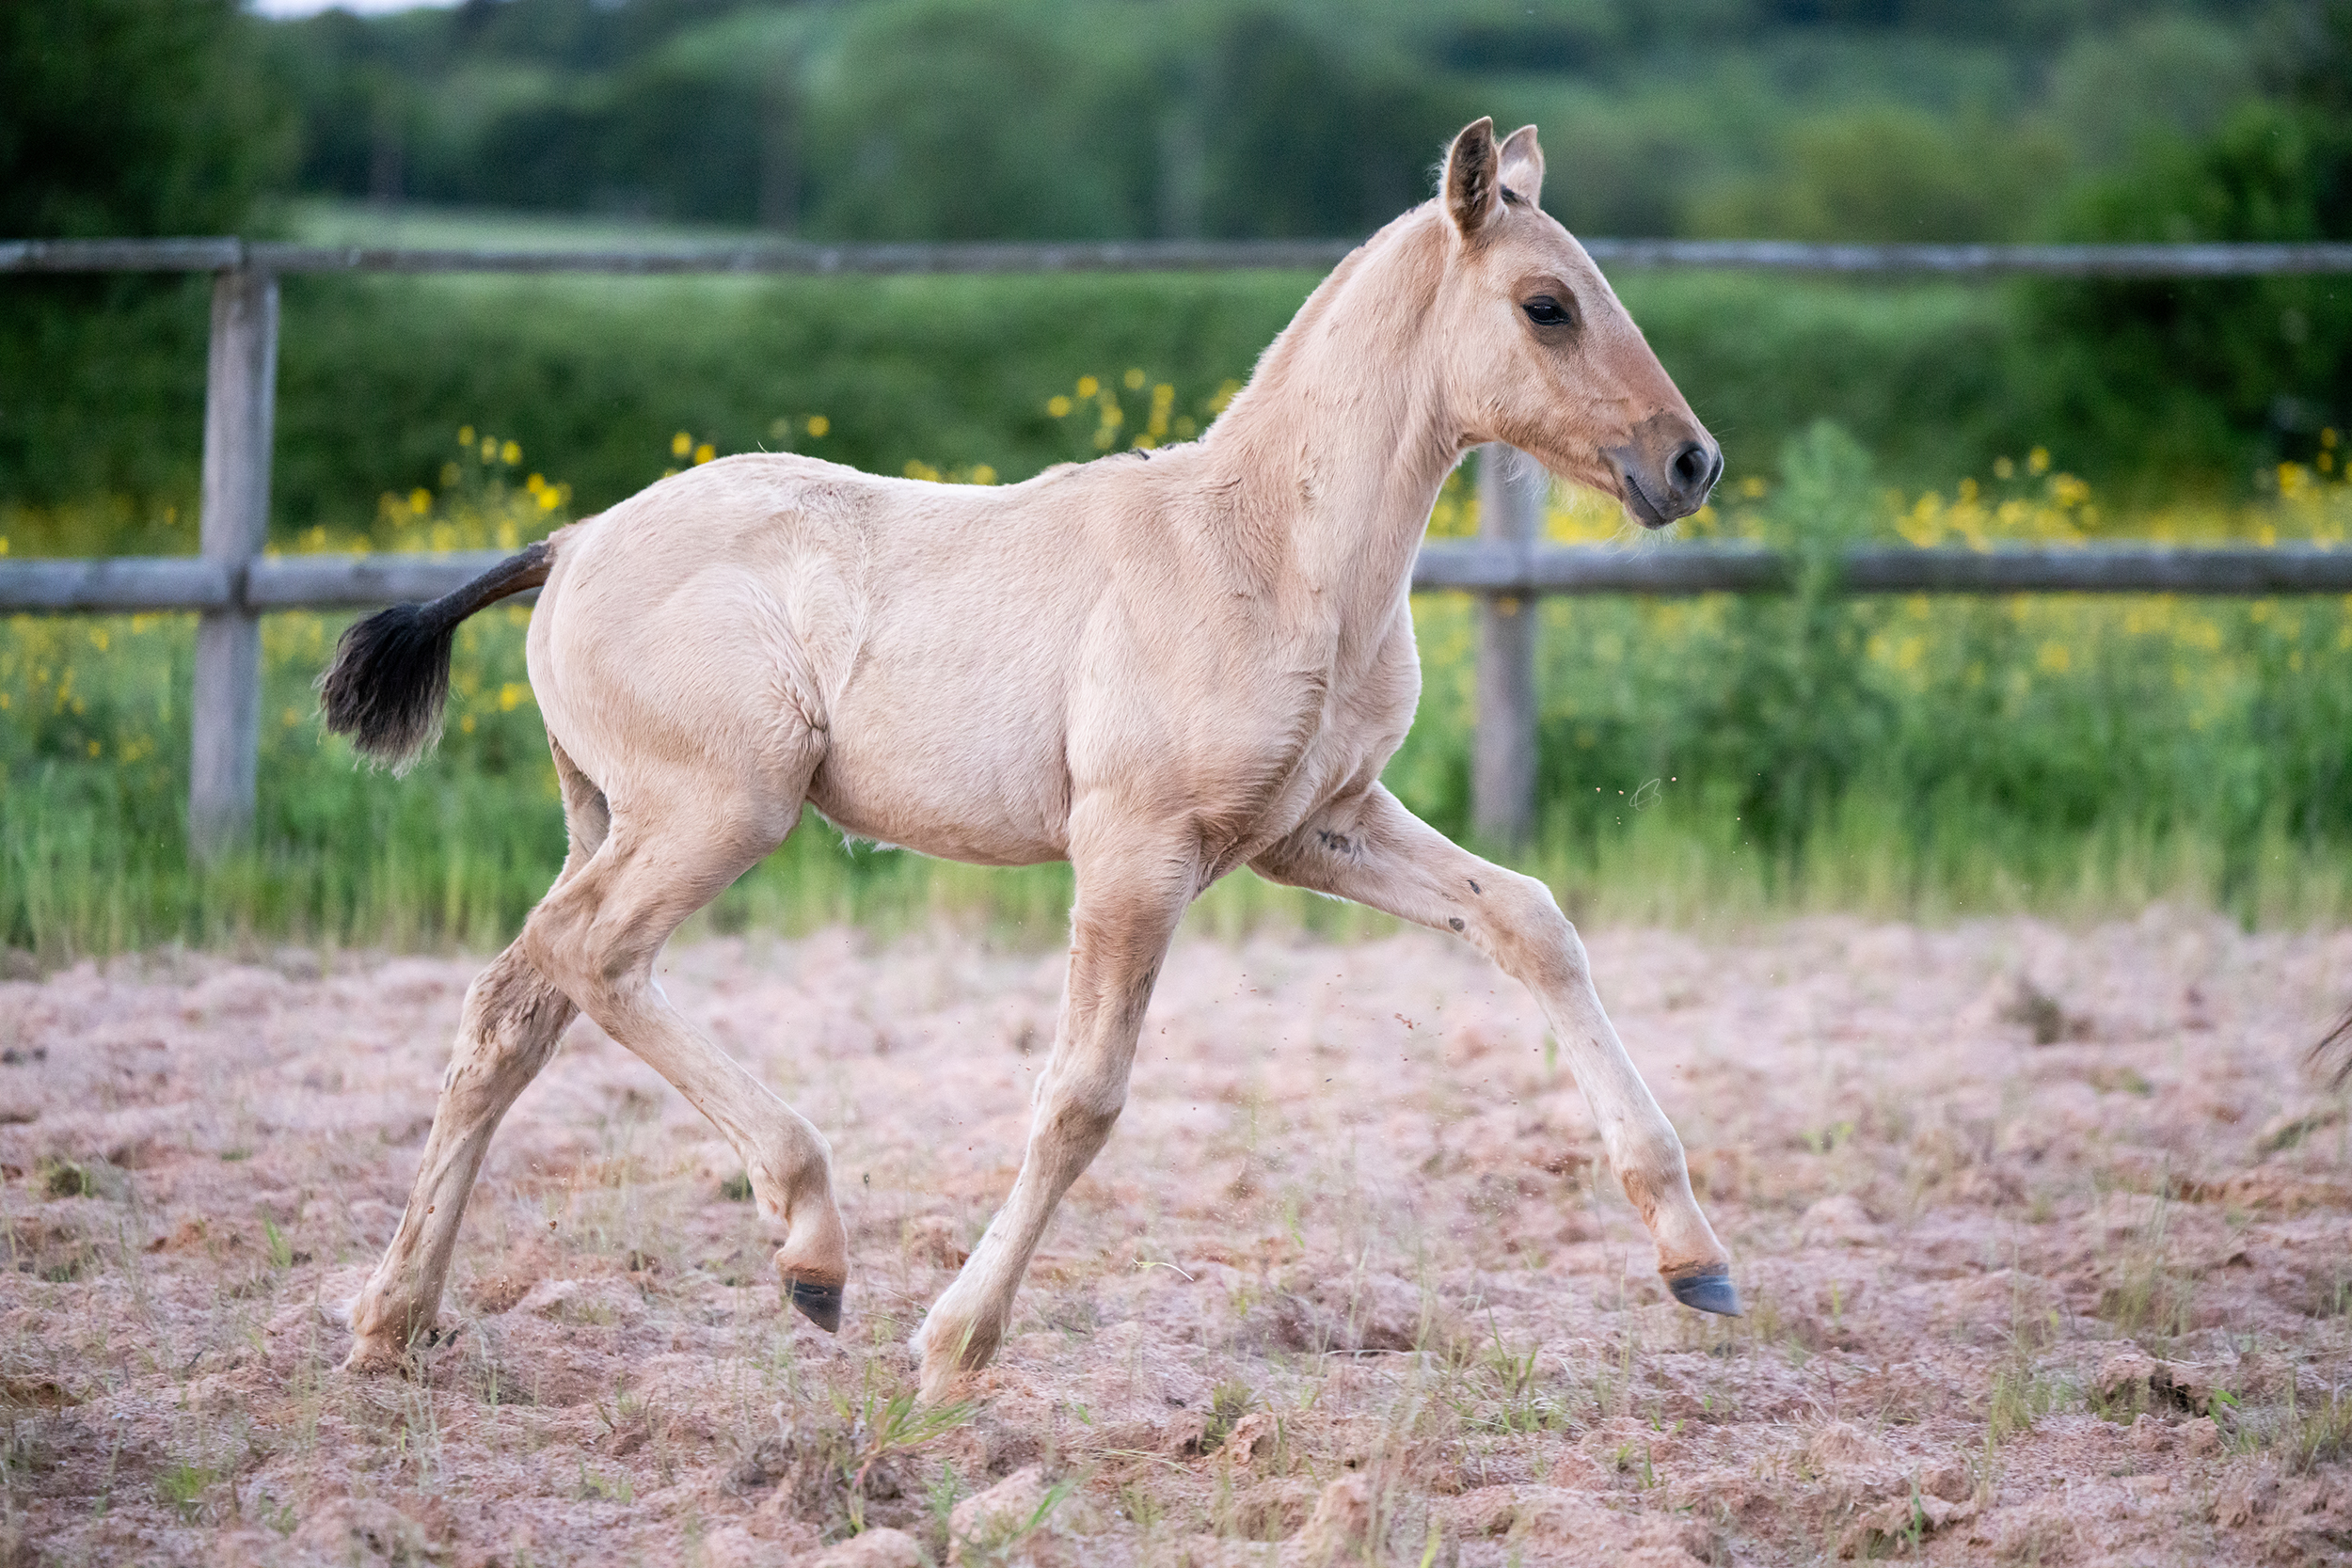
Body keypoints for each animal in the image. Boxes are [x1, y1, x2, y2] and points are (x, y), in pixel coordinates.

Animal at [322, 119, 1740, 1401]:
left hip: (614, 815)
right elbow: (1082, 1097)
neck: (1266, 553)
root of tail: (567, 544)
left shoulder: (1315, 825)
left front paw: (1698, 1262)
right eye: (1547, 306)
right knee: (596, 956)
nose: (1690, 461)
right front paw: (955, 1345)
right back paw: (809, 1242)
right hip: (722, 805)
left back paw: (394, 1324)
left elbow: (1532, 920)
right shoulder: (1135, 846)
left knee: (514, 1005)